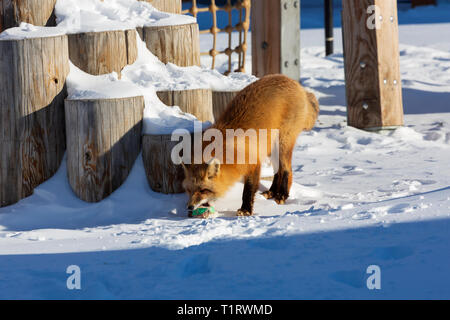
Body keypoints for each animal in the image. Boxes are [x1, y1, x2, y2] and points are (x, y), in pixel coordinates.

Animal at [181, 74, 318, 218]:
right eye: (189, 190)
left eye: (203, 190)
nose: (190, 207)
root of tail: (295, 83)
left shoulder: (253, 163)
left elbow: (248, 189)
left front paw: (246, 209)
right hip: (271, 148)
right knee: (277, 171)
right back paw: (272, 192)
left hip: (282, 143)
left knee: (287, 170)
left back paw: (282, 195)